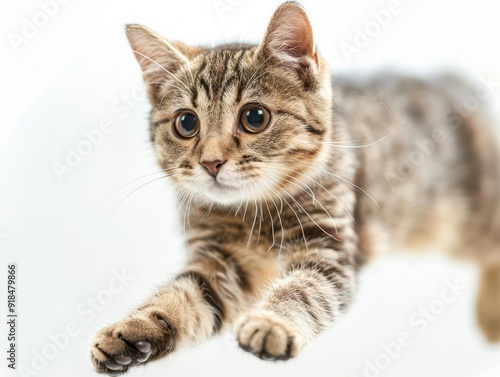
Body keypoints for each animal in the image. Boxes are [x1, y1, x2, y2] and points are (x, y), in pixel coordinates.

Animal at [90, 2, 500, 374]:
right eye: (186, 123)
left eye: (254, 117)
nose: (211, 163)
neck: (253, 212)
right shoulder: (219, 261)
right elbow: (183, 296)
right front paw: (131, 330)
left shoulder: (330, 246)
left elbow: (303, 290)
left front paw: (271, 322)